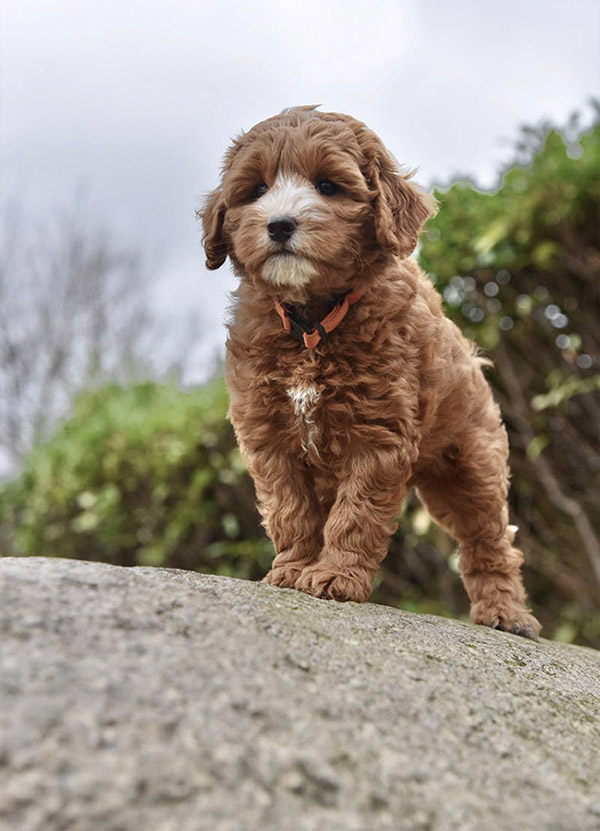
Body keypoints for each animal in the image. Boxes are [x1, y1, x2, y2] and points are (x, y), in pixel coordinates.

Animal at [199, 104, 540, 636]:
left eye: (328, 186)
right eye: (256, 190)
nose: (279, 224)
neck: (312, 323)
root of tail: (474, 355)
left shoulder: (377, 435)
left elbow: (356, 514)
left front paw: (335, 576)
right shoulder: (269, 435)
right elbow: (289, 508)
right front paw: (294, 568)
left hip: (470, 465)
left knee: (488, 540)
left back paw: (505, 611)